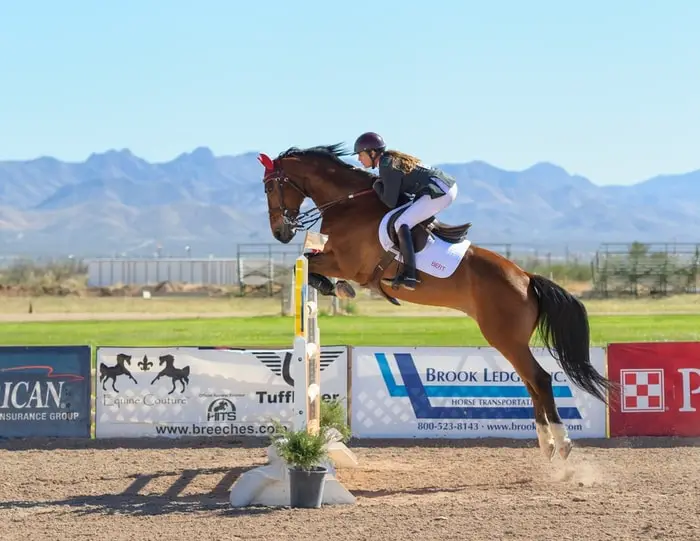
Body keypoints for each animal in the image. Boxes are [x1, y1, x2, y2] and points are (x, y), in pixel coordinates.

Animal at [258, 142, 616, 460]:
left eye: (270, 187)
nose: (279, 233)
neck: (348, 205)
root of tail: (526, 278)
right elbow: (307, 262)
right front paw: (334, 288)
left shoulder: (346, 262)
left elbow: (306, 262)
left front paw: (334, 287)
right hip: (511, 340)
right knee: (531, 382)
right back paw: (546, 444)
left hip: (504, 337)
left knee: (539, 379)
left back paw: (562, 443)